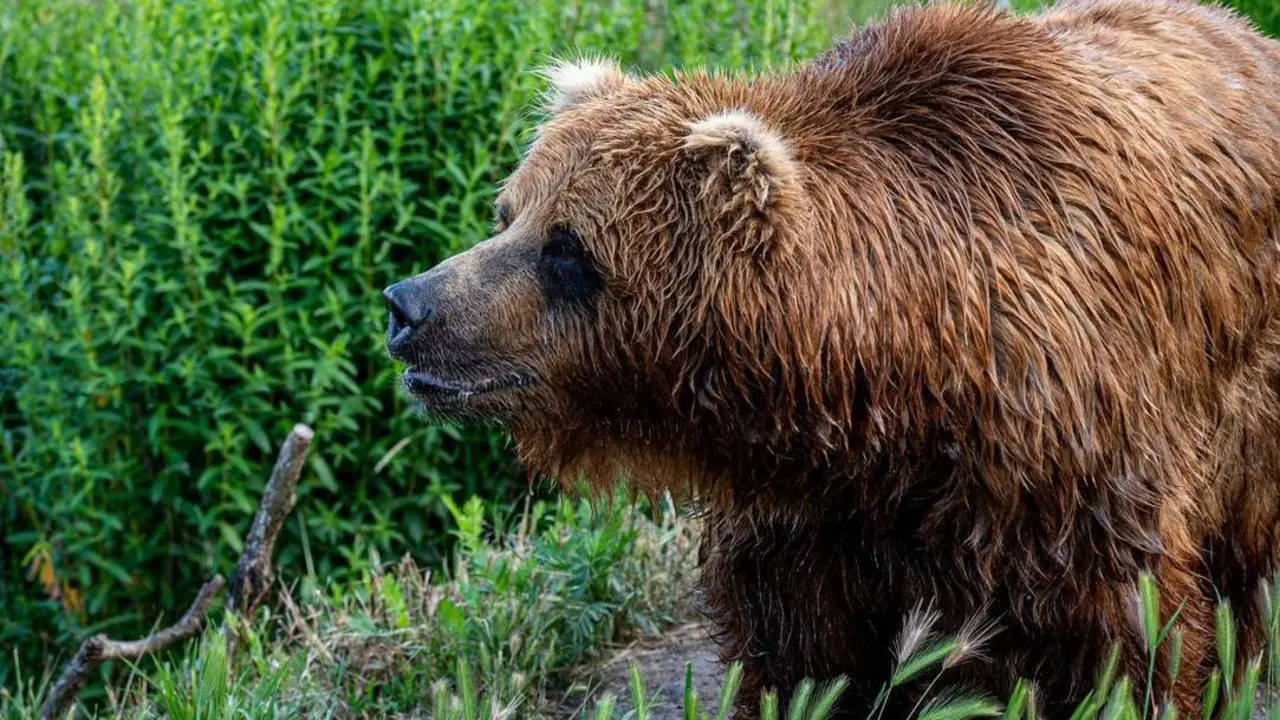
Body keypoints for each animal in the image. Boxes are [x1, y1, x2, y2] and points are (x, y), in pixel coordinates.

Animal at [383, 0, 1280, 716]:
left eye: (568, 247)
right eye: (509, 212)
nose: (408, 305)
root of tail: (1241, 29)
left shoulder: (1067, 468)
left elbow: (1129, 639)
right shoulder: (809, 520)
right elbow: (804, 659)